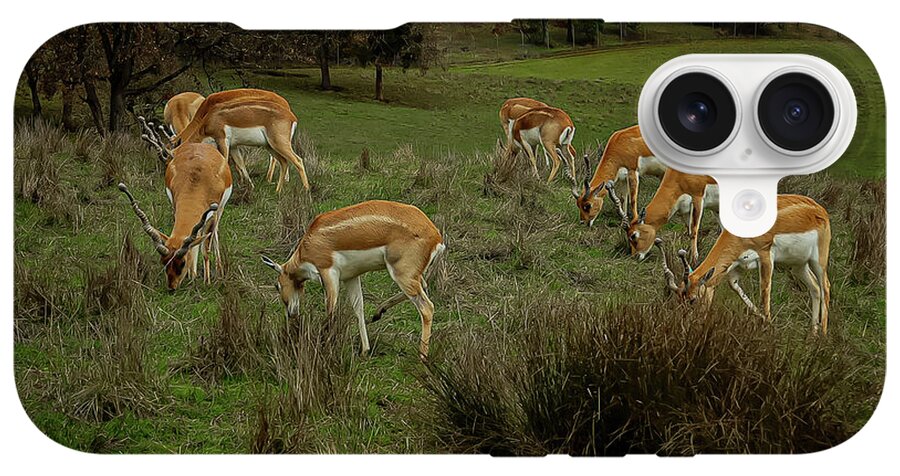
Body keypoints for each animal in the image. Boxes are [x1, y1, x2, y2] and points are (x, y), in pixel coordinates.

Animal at [121, 120, 233, 290]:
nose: (172, 287)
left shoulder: (212, 214)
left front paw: (206, 282)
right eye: (164, 262)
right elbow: (193, 241)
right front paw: (192, 276)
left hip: (219, 210)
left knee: (214, 233)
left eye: (182, 263)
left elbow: (205, 248)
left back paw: (219, 269)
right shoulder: (176, 205)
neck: (197, 181)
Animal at [172, 88, 309, 192]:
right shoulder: (233, 146)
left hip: (278, 144)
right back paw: (277, 190)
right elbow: (241, 164)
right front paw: (249, 186)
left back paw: (306, 191)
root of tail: (292, 116)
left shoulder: (222, 140)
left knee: (298, 160)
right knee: (284, 162)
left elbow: (225, 162)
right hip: (270, 146)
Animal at [260, 200, 445, 360]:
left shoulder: (328, 273)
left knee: (427, 307)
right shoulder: (351, 277)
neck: (309, 244)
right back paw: (378, 313)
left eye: (277, 285)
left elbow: (331, 310)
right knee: (423, 287)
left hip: (402, 274)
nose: (291, 313)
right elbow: (358, 308)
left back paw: (422, 356)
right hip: (411, 275)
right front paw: (365, 350)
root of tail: (436, 236)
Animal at [657, 194, 832, 335]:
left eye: (693, 299)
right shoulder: (737, 265)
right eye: (678, 299)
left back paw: (822, 335)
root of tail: (820, 210)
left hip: (818, 261)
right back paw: (813, 334)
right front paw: (763, 320)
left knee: (825, 287)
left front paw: (767, 325)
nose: (685, 325)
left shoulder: (766, 256)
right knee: (815, 288)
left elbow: (764, 291)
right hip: (798, 265)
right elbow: (735, 286)